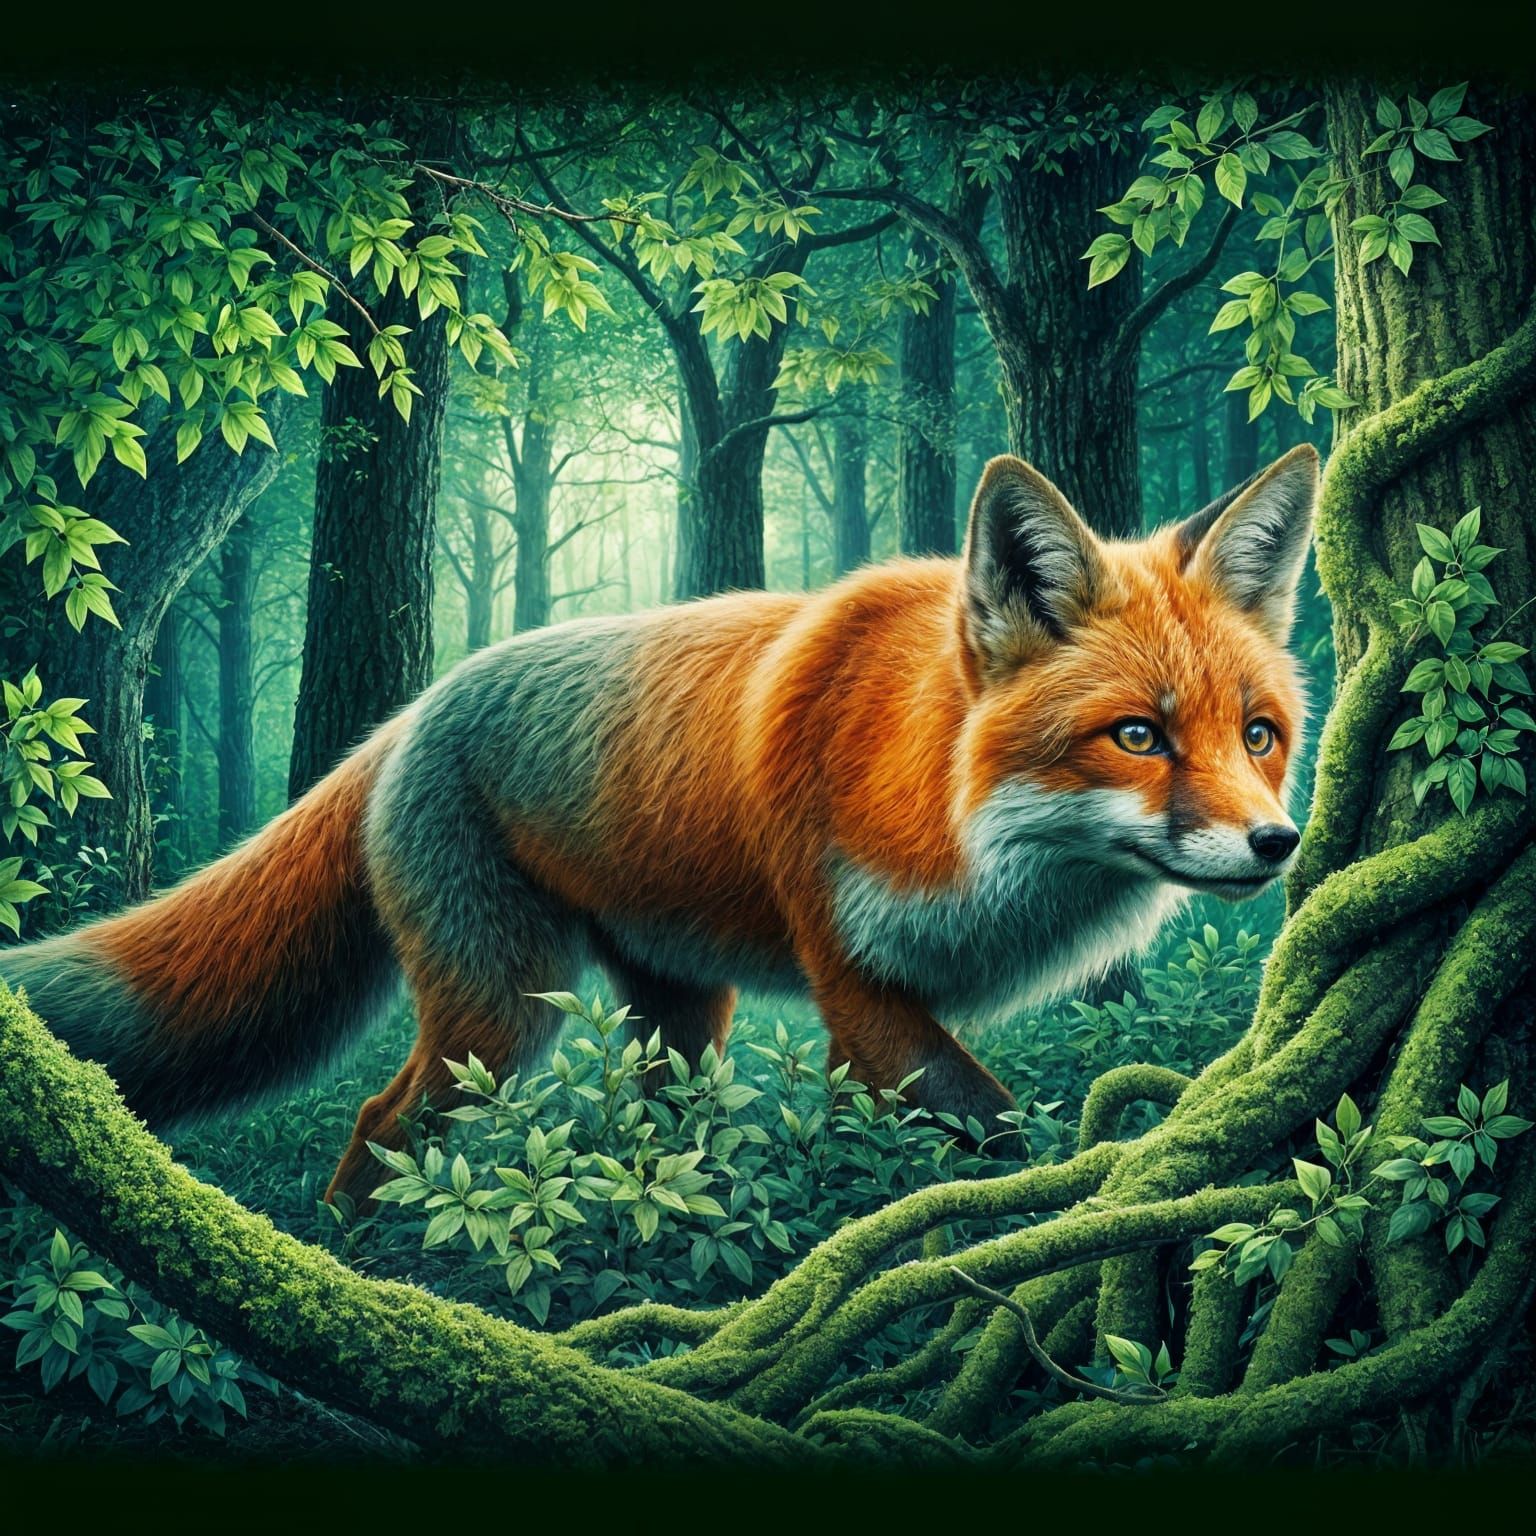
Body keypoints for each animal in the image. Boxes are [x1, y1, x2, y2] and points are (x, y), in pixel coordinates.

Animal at [0, 443, 1317, 1207]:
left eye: (1259, 734)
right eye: (1137, 736)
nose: (1279, 845)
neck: (962, 823)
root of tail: (413, 710)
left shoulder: (866, 1018)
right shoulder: (860, 988)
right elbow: (1001, 1142)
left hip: (682, 1013)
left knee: (651, 1128)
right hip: (501, 1017)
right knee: (384, 1124)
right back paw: (370, 1271)